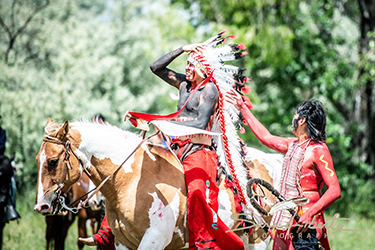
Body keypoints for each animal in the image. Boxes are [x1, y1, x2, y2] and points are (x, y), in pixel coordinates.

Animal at [35, 119, 282, 250]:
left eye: (53, 161)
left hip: (257, 240)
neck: (134, 180)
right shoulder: (123, 243)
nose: (41, 206)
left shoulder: (154, 239)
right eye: (38, 159)